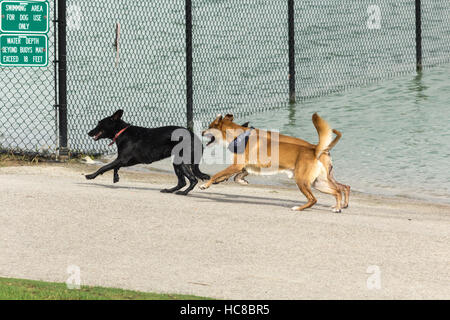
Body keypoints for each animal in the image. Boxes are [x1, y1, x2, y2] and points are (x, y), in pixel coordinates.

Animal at [201, 113, 352, 212]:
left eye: (209, 126)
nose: (202, 132)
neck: (240, 135)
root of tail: (315, 149)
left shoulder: (237, 165)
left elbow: (218, 174)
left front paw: (206, 184)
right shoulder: (246, 166)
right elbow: (234, 175)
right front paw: (237, 180)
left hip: (302, 181)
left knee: (315, 198)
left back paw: (299, 208)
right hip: (318, 182)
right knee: (338, 190)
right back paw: (338, 207)